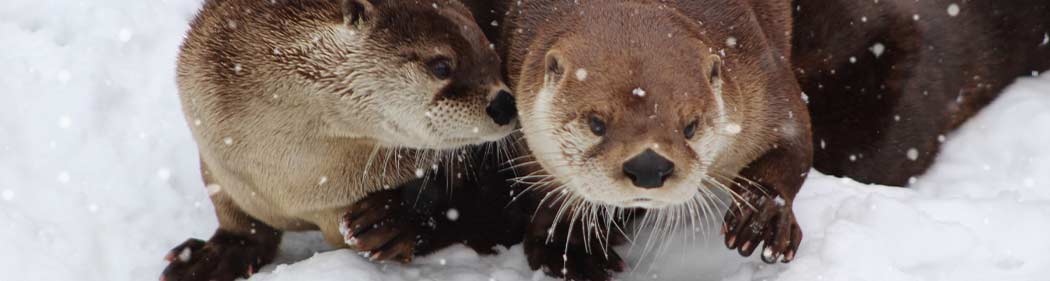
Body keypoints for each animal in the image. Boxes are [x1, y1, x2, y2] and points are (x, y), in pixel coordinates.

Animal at [159, 1, 516, 278]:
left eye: (495, 60)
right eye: (442, 66)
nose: (505, 104)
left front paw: (391, 221)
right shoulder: (216, 157)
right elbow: (240, 220)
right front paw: (213, 255)